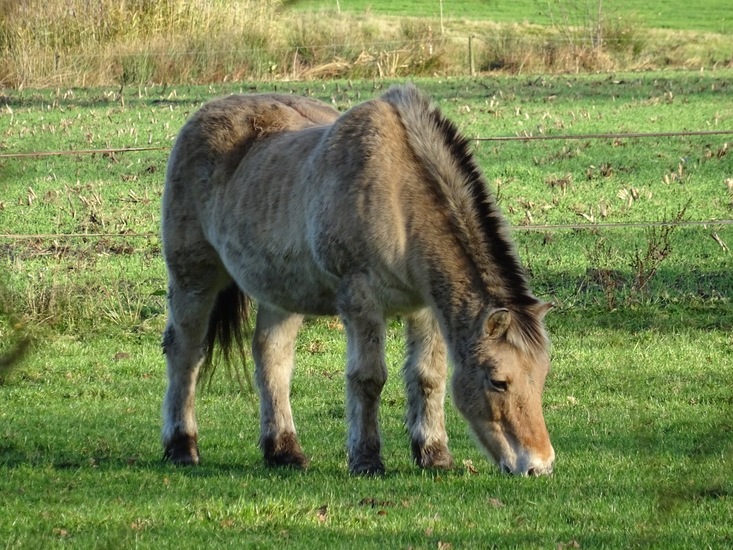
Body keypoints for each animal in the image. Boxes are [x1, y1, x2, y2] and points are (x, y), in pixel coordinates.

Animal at [160, 84, 555, 476]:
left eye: (541, 377)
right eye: (498, 381)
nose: (539, 465)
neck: (399, 197)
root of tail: (204, 114)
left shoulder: (425, 307)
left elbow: (428, 375)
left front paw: (434, 454)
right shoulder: (360, 299)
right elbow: (368, 378)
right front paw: (366, 459)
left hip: (281, 293)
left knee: (272, 358)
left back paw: (284, 451)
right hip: (193, 280)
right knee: (185, 354)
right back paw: (181, 446)